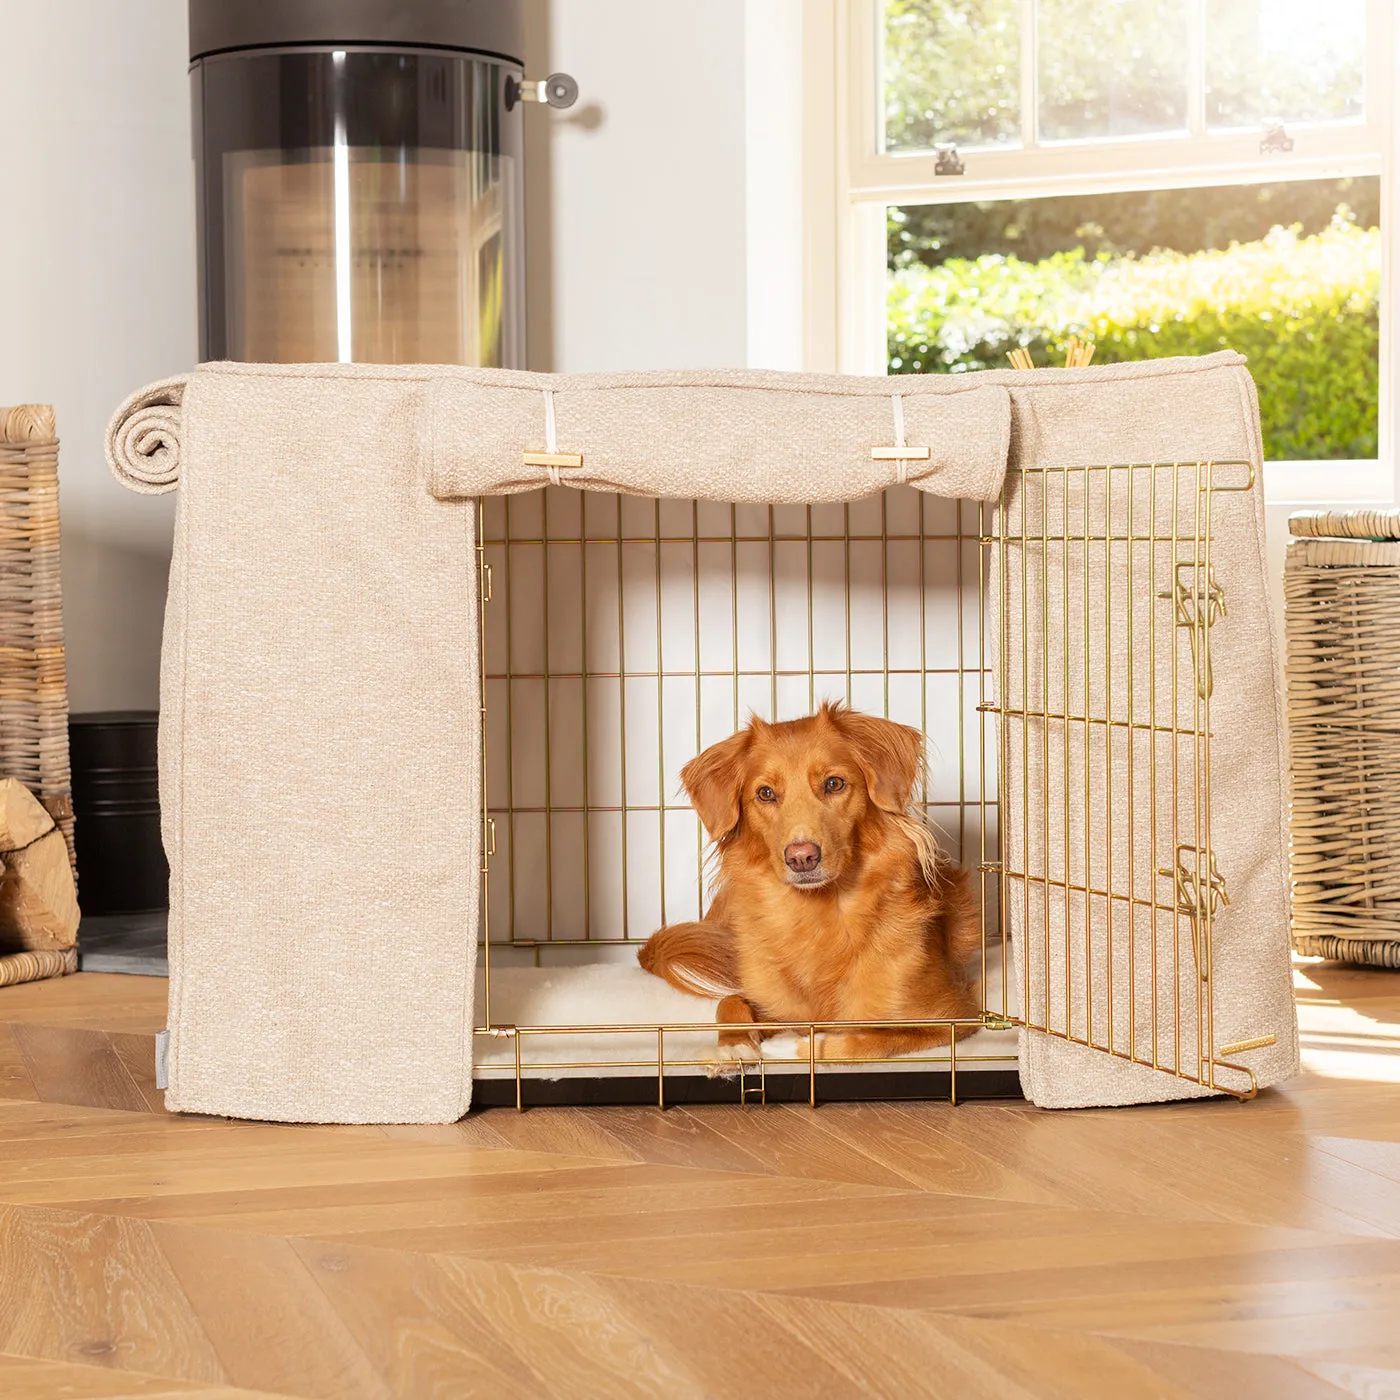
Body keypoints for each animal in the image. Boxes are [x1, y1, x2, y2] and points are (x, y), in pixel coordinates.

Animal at [641, 705, 980, 1064]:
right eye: (765, 793)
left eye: (834, 783)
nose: (801, 857)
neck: (818, 915)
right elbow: (730, 1001)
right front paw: (734, 1046)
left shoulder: (955, 1017)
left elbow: (863, 1039)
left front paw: (790, 1045)